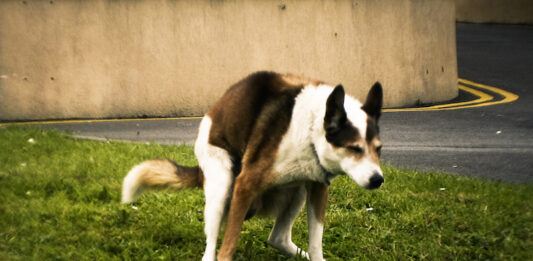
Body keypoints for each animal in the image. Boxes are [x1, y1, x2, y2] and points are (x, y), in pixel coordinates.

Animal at [120, 71, 382, 260]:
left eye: (378, 149)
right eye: (354, 148)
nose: (378, 180)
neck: (311, 129)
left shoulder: (318, 186)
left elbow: (316, 243)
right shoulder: (244, 185)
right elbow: (226, 248)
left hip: (296, 190)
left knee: (277, 238)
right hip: (222, 185)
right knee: (210, 249)